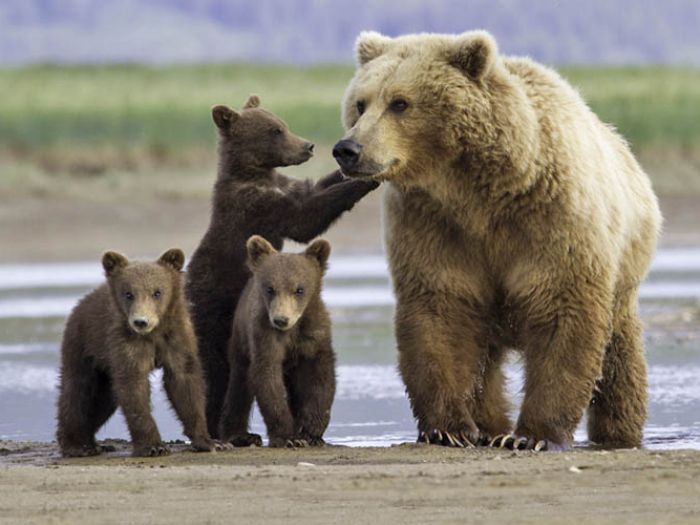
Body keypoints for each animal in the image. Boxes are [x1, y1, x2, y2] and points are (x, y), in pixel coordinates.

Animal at [334, 31, 660, 450]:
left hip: (624, 272)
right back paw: (490, 427)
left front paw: (533, 437)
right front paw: (448, 428)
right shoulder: (435, 226)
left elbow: (562, 315)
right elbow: (440, 312)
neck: (478, 189)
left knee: (619, 355)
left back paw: (618, 431)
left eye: (400, 102)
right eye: (360, 103)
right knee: (485, 362)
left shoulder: (553, 223)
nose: (347, 149)